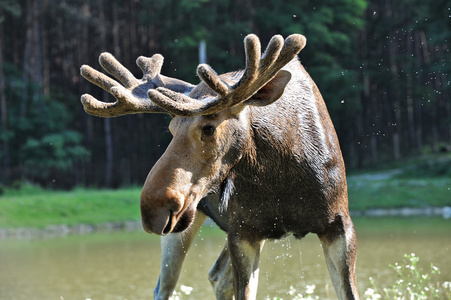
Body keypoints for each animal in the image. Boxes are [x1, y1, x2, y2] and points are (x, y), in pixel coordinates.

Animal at [79, 34, 358, 298]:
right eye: (171, 128)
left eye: (209, 128)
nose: (152, 209)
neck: (281, 176)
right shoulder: (243, 230)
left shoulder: (339, 225)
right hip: (184, 226)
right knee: (166, 286)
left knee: (217, 276)